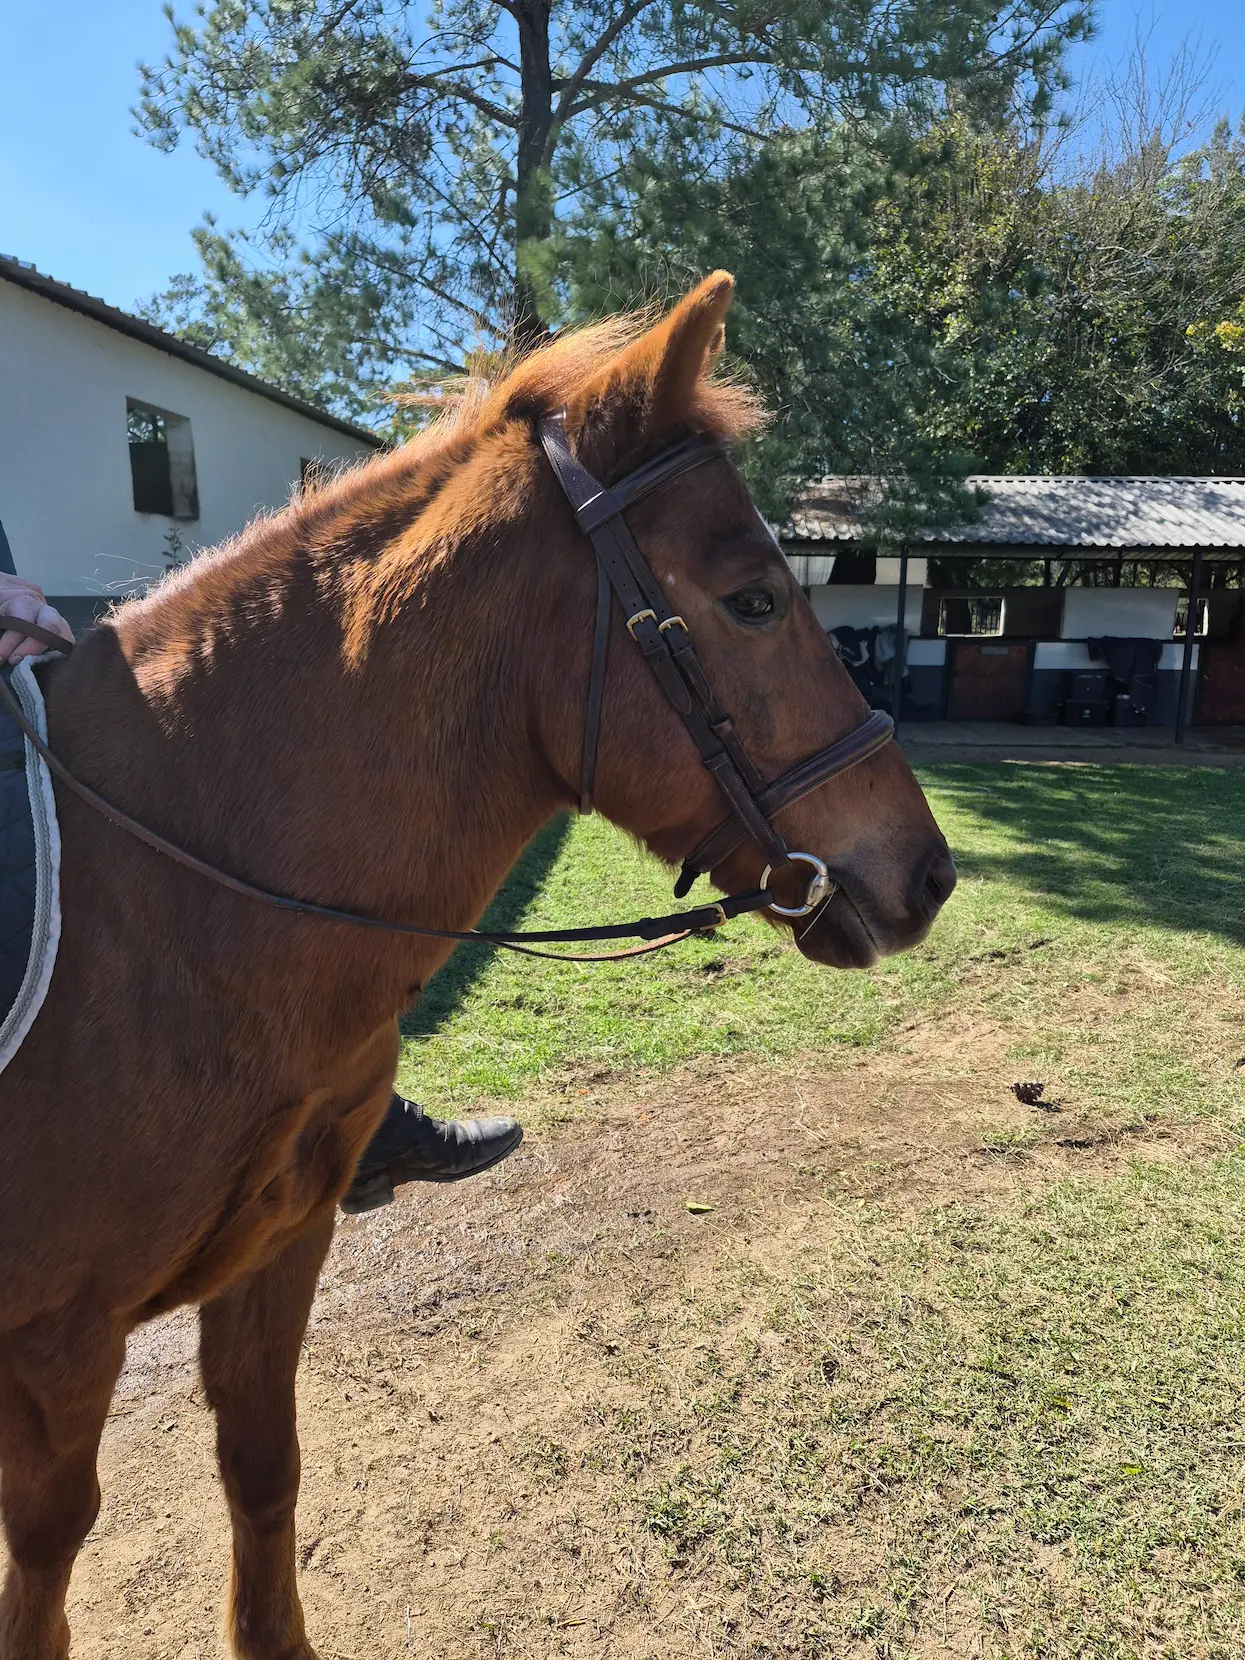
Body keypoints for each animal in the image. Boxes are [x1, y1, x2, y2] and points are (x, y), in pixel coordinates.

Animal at [0, 273, 954, 1659]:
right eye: (755, 598)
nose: (929, 874)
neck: (163, 912)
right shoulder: (56, 1349)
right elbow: (45, 1565)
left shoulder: (278, 1257)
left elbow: (263, 1470)